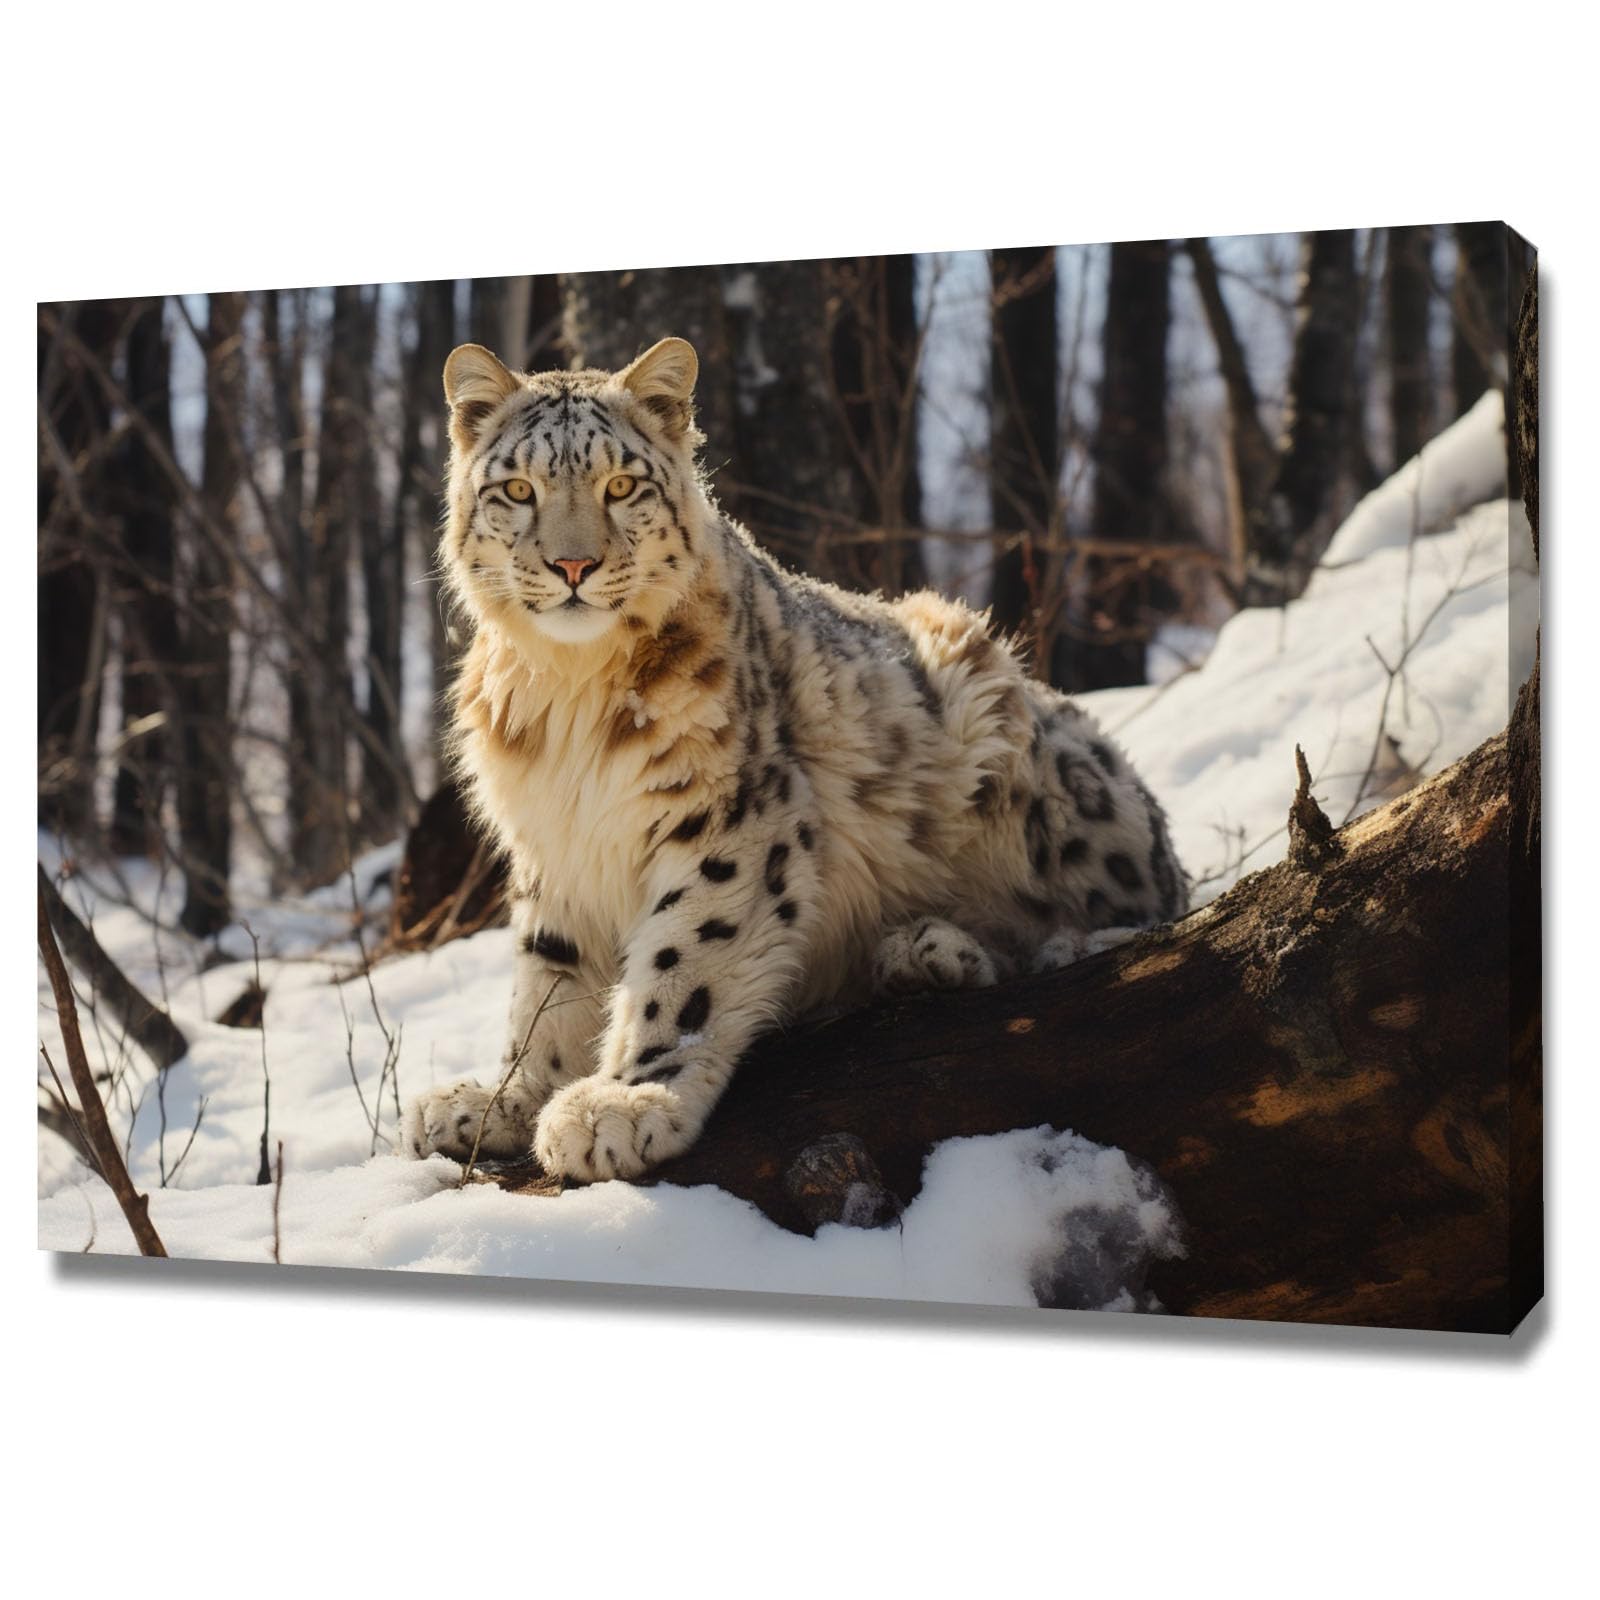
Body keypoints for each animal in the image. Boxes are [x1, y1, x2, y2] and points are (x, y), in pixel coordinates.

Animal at [400, 335, 1187, 1182]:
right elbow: (547, 981)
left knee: (1147, 905)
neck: (569, 693)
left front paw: (624, 1101)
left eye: (621, 485)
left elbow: (684, 960)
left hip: (1026, 764)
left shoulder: (728, 816)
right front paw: (499, 1101)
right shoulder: (556, 847)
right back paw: (924, 955)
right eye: (517, 488)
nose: (572, 566)